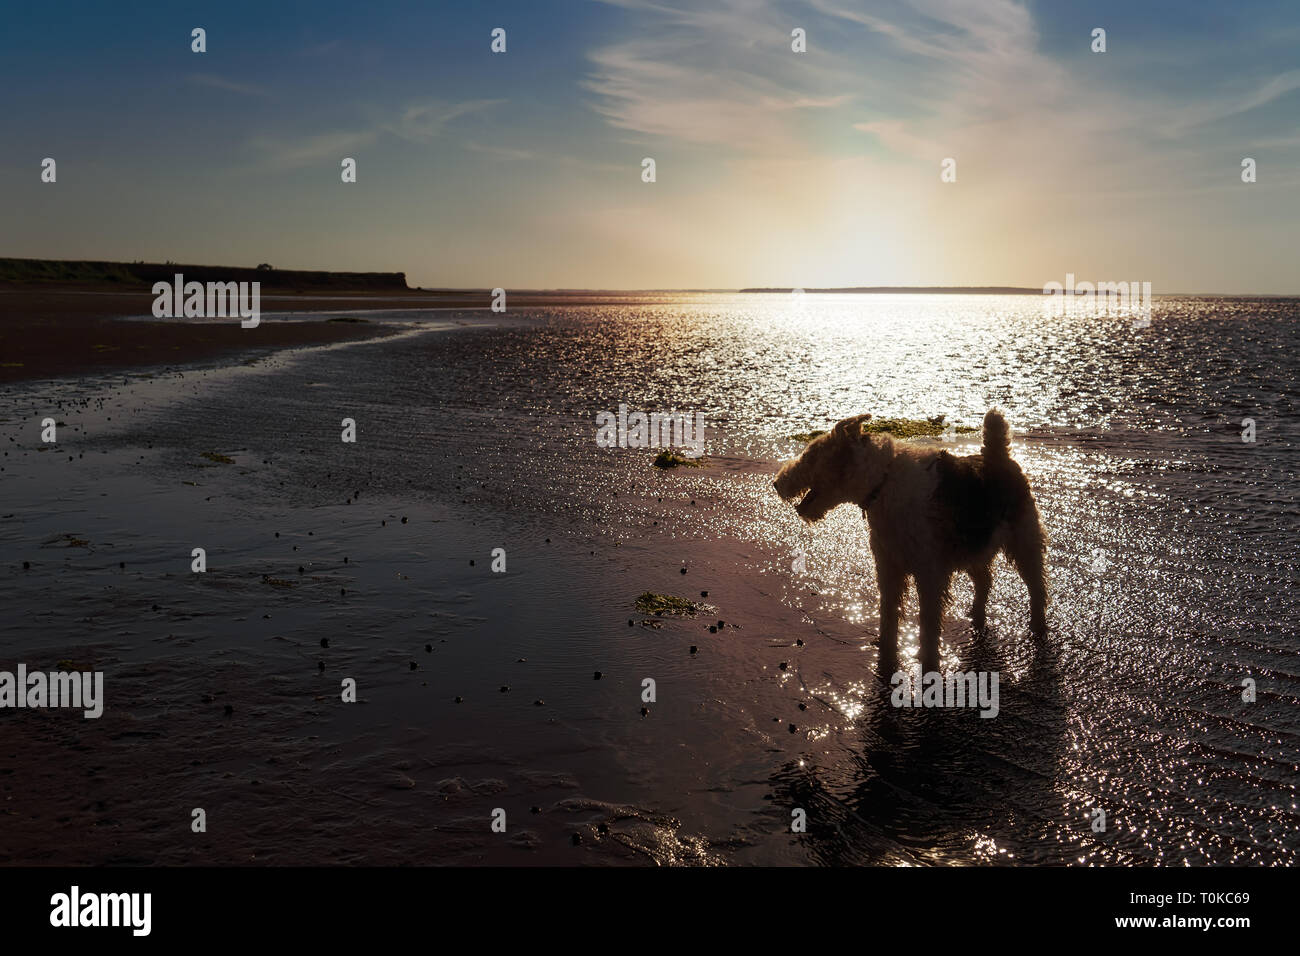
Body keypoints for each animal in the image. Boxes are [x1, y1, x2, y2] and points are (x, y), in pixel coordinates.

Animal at [769, 411, 1045, 671]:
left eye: (809, 456)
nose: (775, 483)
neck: (881, 483)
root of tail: (998, 457)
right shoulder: (889, 566)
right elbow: (889, 613)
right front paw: (885, 648)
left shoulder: (929, 572)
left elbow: (927, 622)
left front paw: (927, 659)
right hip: (974, 545)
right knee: (985, 580)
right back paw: (975, 614)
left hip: (1025, 541)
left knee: (1036, 587)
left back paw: (1038, 625)